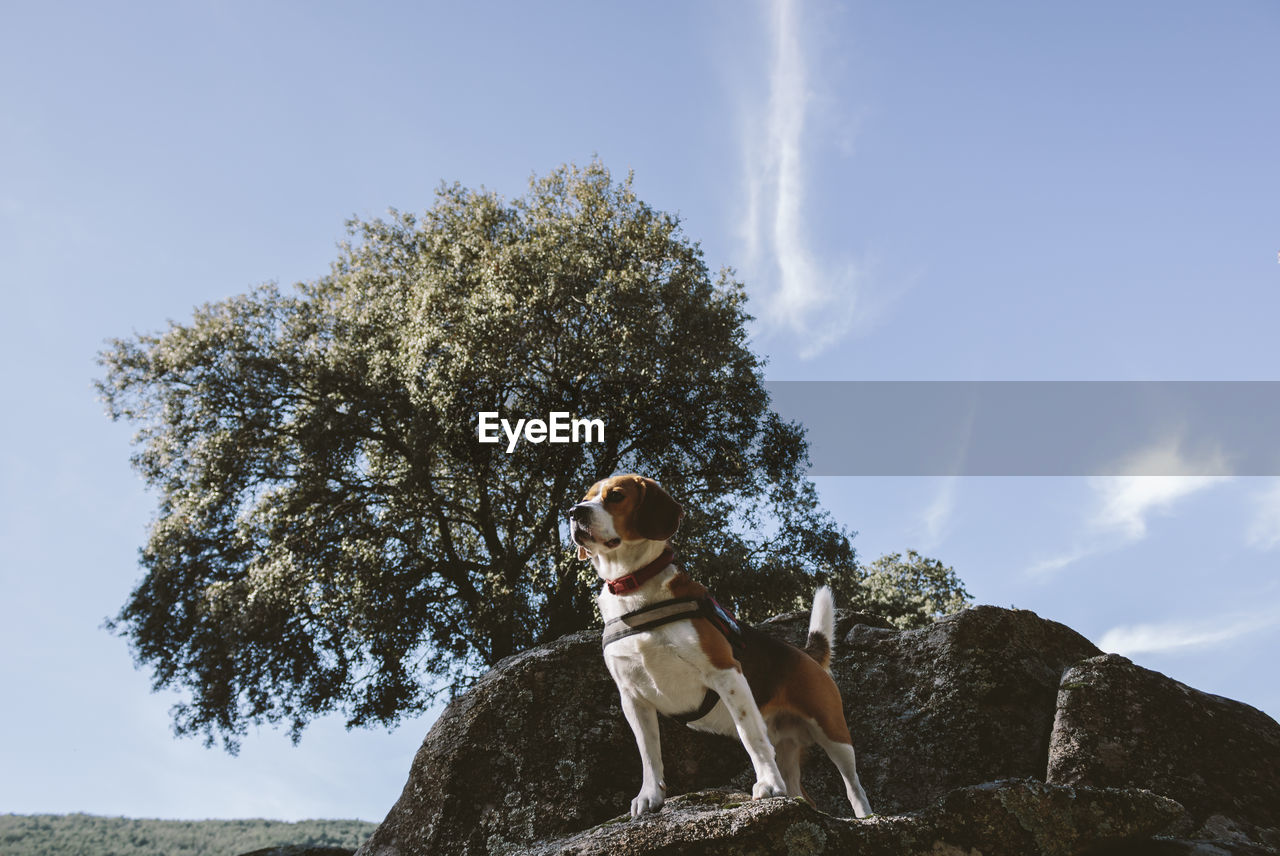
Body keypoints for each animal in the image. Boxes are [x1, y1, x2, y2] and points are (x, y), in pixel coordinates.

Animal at [570, 473, 870, 813]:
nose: (574, 512)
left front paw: (767, 785)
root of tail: (805, 653)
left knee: (854, 786)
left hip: (833, 731)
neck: (635, 589)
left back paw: (866, 817)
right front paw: (650, 796)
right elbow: (648, 752)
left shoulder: (725, 672)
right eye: (586, 497)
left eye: (616, 496)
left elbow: (750, 735)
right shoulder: (632, 696)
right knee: (801, 792)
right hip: (790, 744)